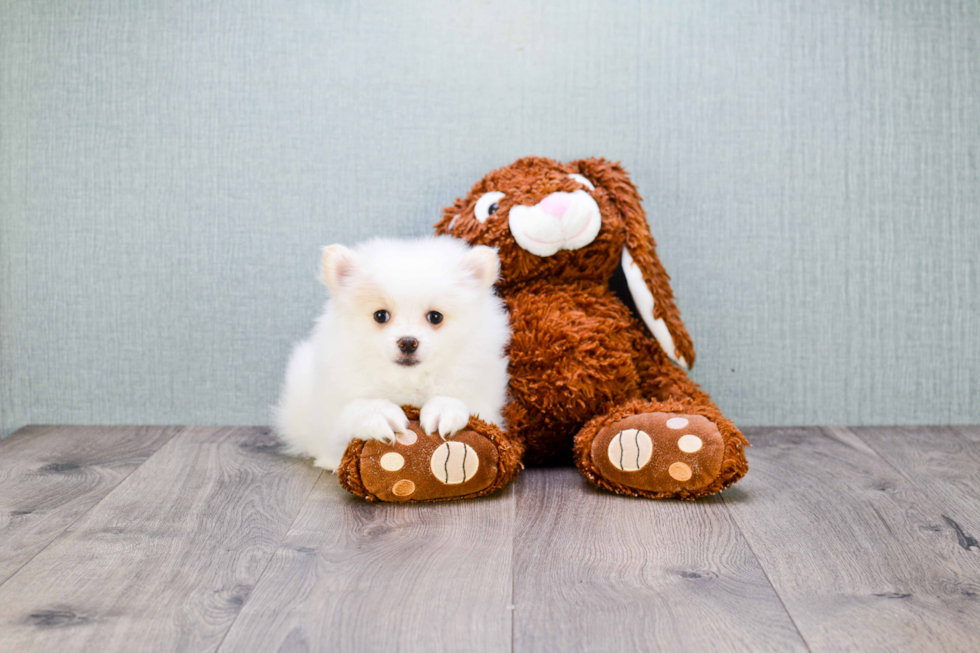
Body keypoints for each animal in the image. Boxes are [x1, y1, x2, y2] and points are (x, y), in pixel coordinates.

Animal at [272, 237, 510, 472]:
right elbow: (352, 410)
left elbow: (466, 402)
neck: (407, 380)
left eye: (435, 317)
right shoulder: (327, 425)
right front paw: (378, 413)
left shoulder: (485, 403)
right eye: (380, 315)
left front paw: (444, 409)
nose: (408, 342)